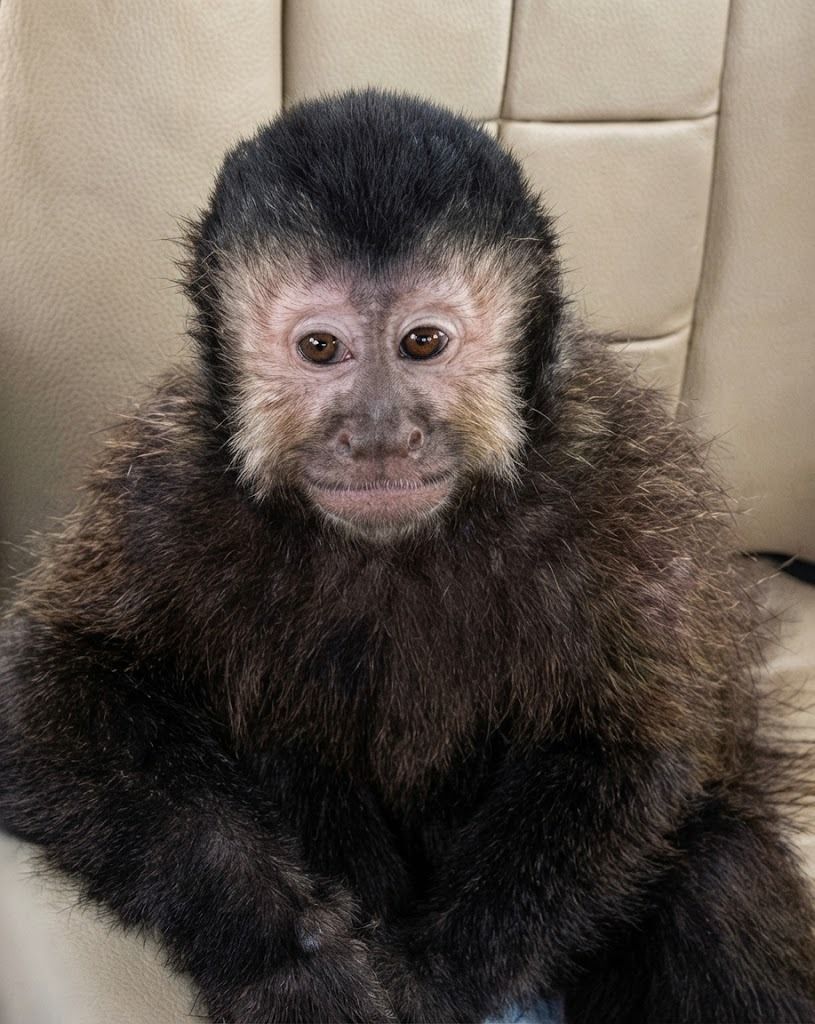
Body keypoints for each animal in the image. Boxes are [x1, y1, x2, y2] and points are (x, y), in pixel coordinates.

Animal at [1, 87, 814, 1024]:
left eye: (422, 343)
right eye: (321, 348)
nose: (381, 434)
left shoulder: (623, 480)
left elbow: (635, 741)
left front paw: (436, 976)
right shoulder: (163, 488)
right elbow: (50, 680)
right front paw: (291, 956)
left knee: (716, 876)